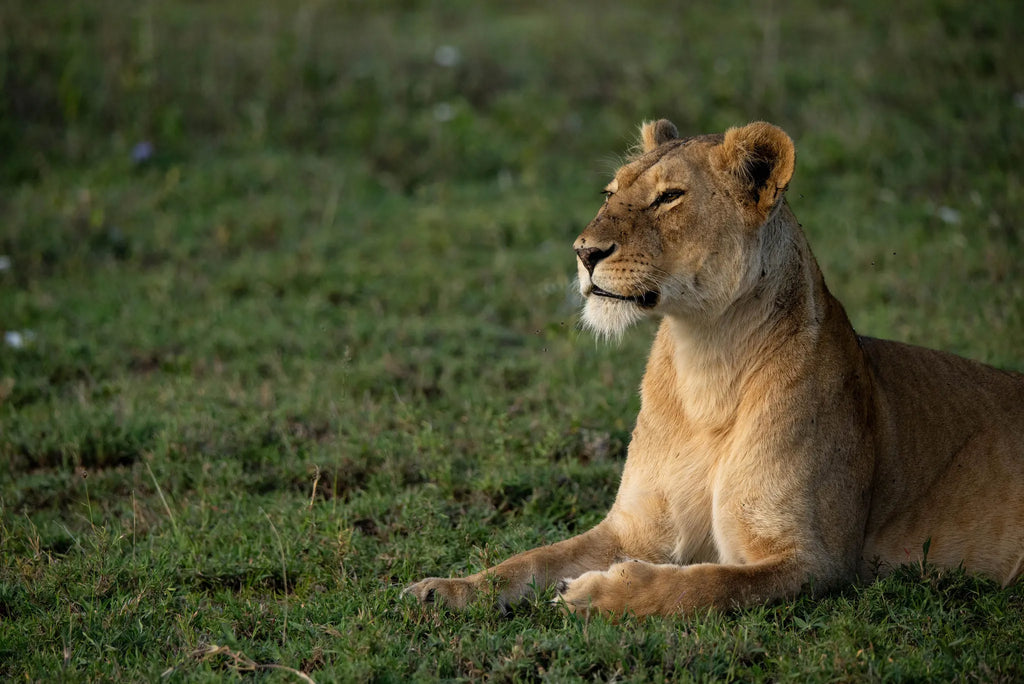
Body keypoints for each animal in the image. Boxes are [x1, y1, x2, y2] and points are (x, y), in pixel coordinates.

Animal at [404, 120, 1024, 617]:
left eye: (669, 198)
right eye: (611, 192)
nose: (584, 252)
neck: (706, 362)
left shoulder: (816, 562)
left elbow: (701, 585)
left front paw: (597, 593)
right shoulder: (632, 527)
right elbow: (532, 559)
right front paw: (447, 589)